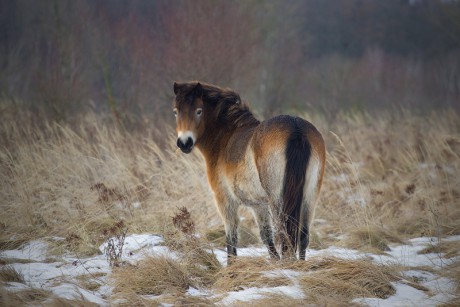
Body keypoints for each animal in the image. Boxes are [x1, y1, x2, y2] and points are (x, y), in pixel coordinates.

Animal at [172, 81, 328, 262]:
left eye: (199, 111)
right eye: (176, 111)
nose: (185, 142)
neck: (226, 136)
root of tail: (296, 129)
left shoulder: (226, 201)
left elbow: (232, 238)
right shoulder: (258, 205)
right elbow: (266, 237)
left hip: (278, 200)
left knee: (285, 235)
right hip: (310, 197)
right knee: (303, 237)